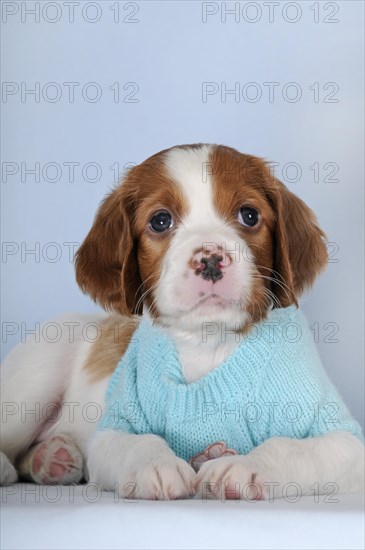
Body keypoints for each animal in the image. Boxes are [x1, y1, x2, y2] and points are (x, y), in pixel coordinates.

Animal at [1, 144, 362, 502]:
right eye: (160, 221)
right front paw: (156, 464)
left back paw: (52, 458)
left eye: (249, 215)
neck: (209, 343)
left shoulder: (344, 439)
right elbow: (138, 441)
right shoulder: (112, 431)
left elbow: (289, 447)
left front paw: (245, 467)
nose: (211, 260)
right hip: (37, 376)